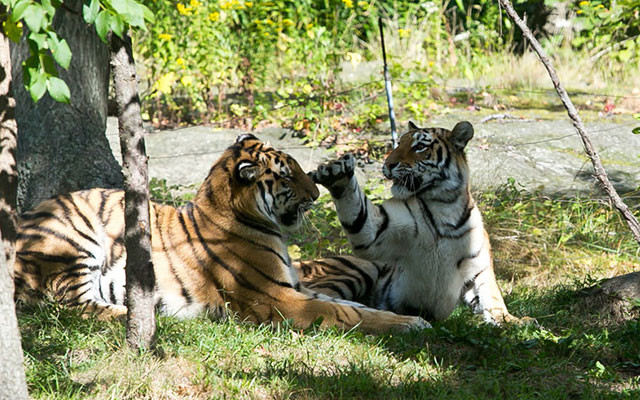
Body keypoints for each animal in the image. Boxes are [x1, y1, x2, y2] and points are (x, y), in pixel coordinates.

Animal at [11, 134, 430, 334]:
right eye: (286, 175)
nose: (314, 195)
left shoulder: (294, 286)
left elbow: (354, 306)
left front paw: (401, 317)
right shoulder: (277, 297)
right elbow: (341, 311)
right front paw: (412, 324)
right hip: (73, 240)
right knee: (74, 306)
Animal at [302, 119, 528, 324]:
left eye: (420, 147)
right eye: (399, 143)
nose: (388, 165)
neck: (444, 207)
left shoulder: (480, 268)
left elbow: (492, 297)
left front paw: (514, 321)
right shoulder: (376, 232)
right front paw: (338, 175)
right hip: (359, 270)